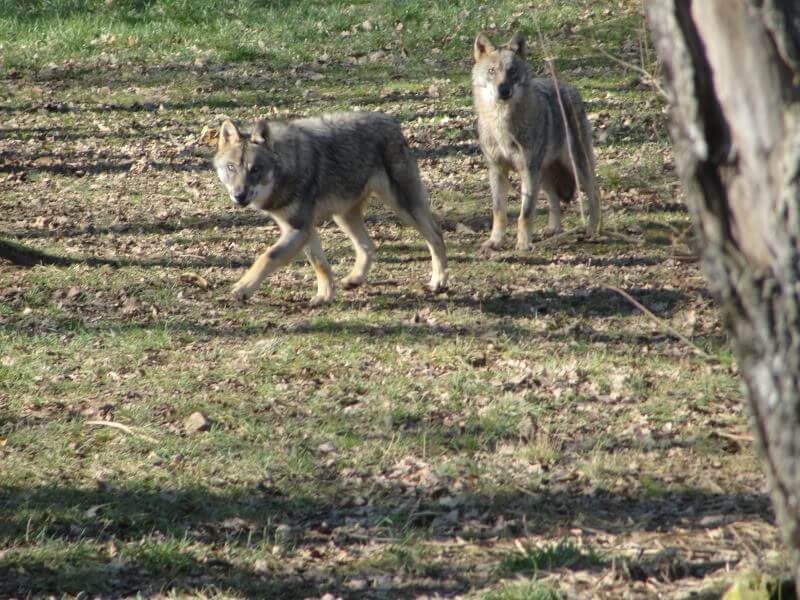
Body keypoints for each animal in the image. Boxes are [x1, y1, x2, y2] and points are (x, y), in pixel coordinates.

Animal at [213, 112, 448, 305]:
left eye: (255, 169)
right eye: (231, 167)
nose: (239, 196)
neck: (288, 168)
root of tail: (390, 120)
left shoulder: (298, 230)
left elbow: (268, 257)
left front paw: (243, 288)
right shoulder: (305, 230)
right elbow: (321, 264)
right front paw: (325, 296)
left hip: (403, 207)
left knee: (436, 235)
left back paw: (438, 282)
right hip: (343, 216)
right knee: (367, 246)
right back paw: (354, 280)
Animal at [472, 32, 601, 251]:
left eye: (512, 71)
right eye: (491, 71)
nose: (503, 89)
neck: (502, 125)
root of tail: (568, 87)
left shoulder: (527, 170)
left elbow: (525, 214)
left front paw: (523, 244)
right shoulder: (497, 170)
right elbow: (499, 212)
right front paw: (495, 241)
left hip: (575, 166)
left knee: (595, 193)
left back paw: (593, 230)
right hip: (544, 174)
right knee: (554, 200)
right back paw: (554, 229)